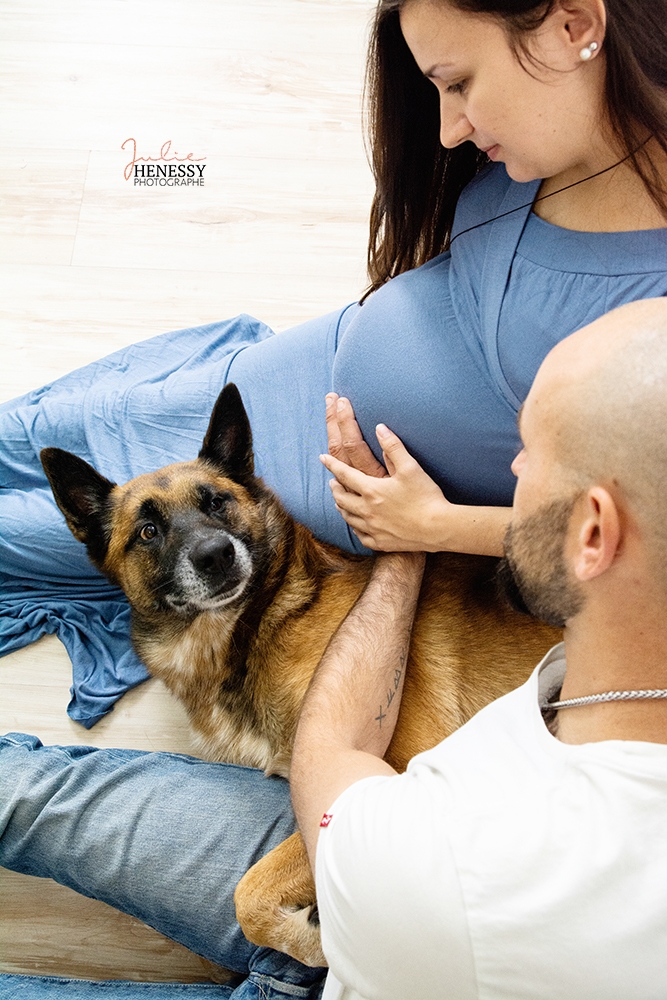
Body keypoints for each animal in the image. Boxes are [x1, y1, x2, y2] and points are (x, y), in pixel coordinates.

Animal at [41, 384, 560, 968]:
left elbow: (248, 892)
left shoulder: (389, 779)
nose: (215, 555)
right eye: (148, 531)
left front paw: (322, 944)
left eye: (216, 502)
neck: (262, 618)